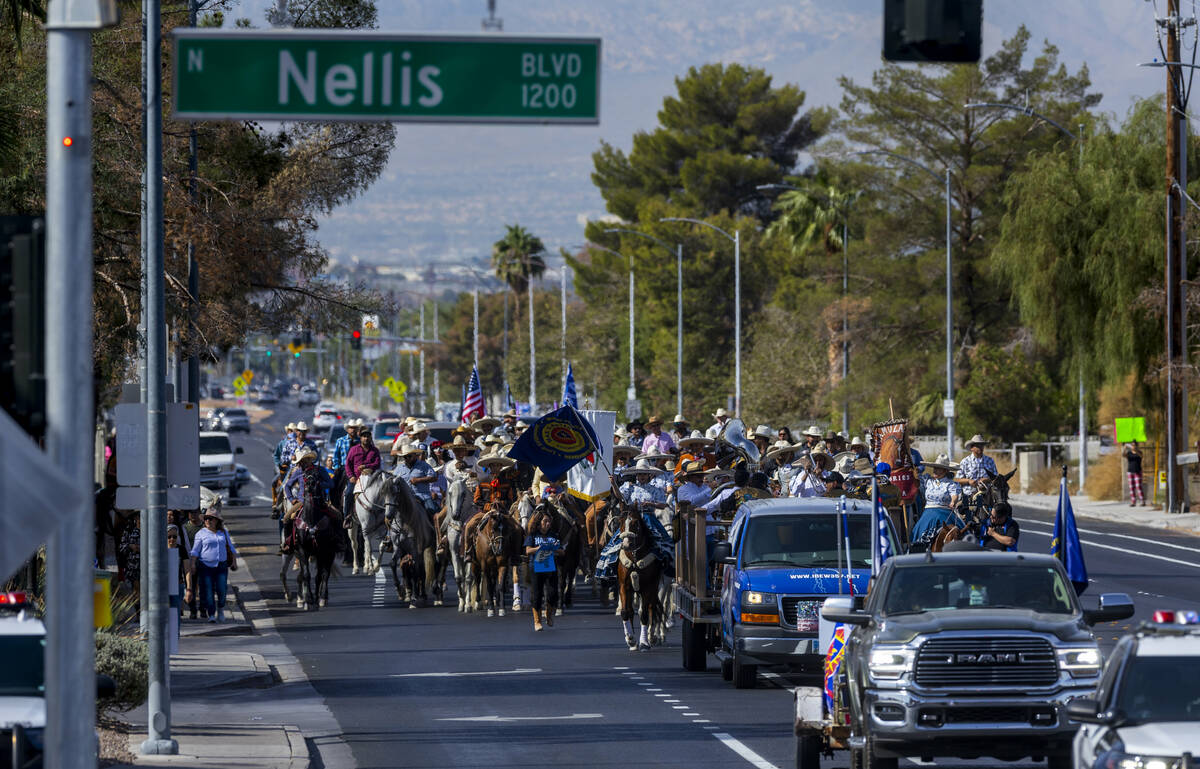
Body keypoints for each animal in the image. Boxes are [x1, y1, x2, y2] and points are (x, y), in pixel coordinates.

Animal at [614, 506, 672, 652]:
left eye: (635, 523)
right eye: (621, 522)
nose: (626, 544)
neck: (635, 558)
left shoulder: (649, 587)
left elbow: (645, 613)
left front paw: (644, 642)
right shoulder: (624, 586)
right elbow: (625, 612)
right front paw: (630, 639)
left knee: (652, 608)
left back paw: (652, 636)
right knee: (632, 610)